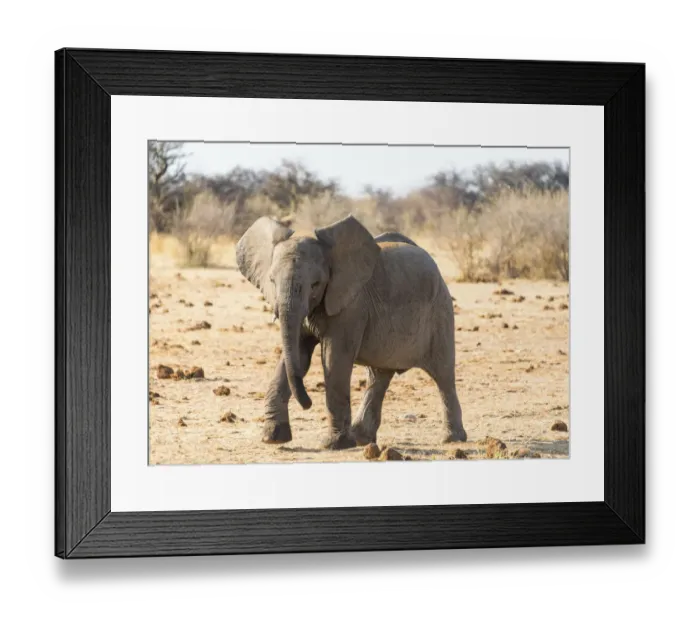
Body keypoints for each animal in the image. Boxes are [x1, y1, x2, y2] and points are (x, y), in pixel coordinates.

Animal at [235, 214, 467, 450]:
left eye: (316, 284)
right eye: (272, 281)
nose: (308, 403)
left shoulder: (351, 306)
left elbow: (334, 360)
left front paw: (334, 444)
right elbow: (297, 356)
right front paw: (273, 438)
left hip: (440, 312)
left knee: (443, 375)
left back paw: (452, 439)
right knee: (378, 376)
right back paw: (362, 439)